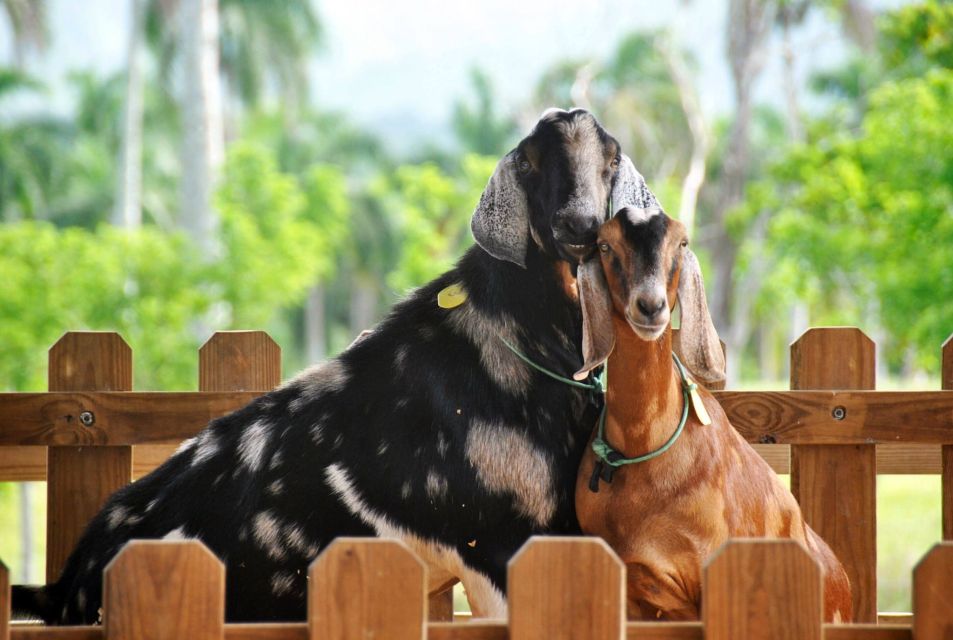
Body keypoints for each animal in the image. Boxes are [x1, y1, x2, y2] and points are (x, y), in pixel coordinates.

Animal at [14, 109, 660, 620]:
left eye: (610, 158)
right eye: (528, 161)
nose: (577, 226)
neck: (519, 333)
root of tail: (63, 585)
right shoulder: (501, 546)